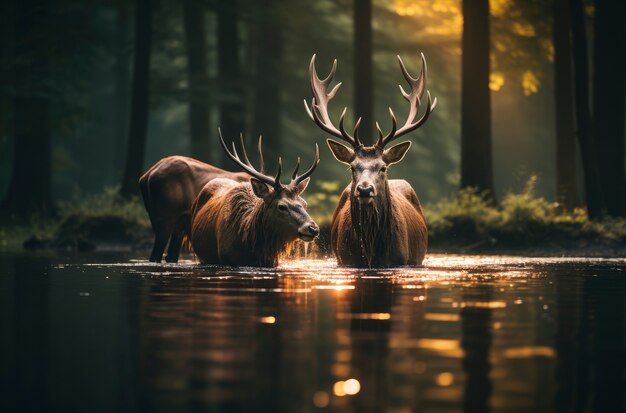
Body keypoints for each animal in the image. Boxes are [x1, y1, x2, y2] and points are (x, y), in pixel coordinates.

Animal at [304, 52, 436, 268]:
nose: (365, 189)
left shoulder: (402, 260)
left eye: (383, 168)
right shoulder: (346, 259)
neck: (372, 255)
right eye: (352, 167)